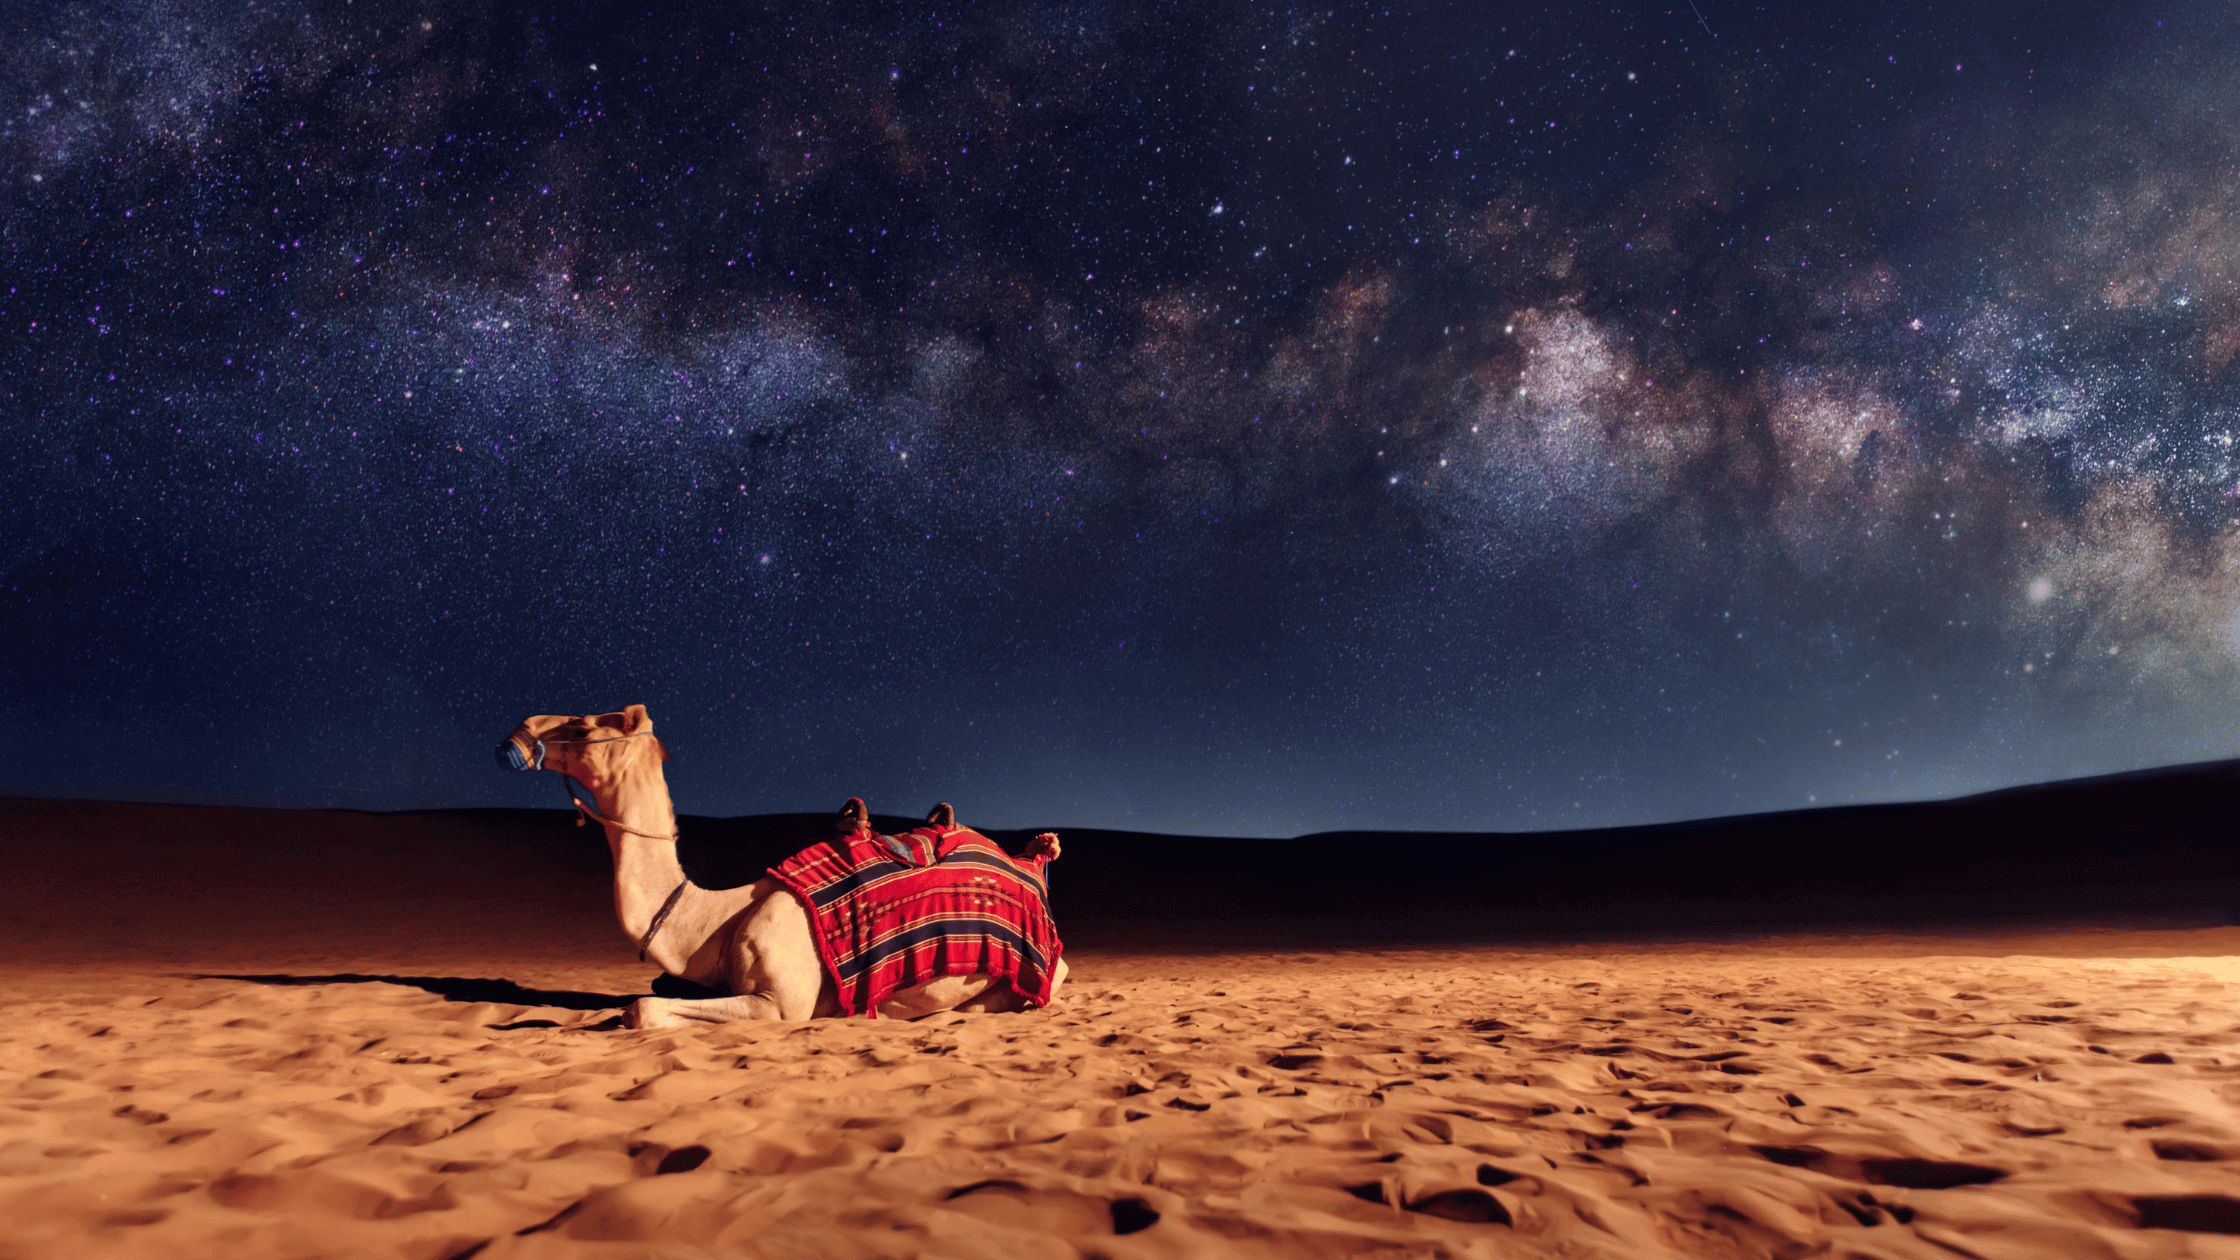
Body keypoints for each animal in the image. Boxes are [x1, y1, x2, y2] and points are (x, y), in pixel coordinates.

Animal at [497, 699, 1066, 1026]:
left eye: (584, 730)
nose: (519, 732)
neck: (716, 921)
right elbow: (649, 994)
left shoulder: (780, 1003)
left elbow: (642, 1010)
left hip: (1042, 972)